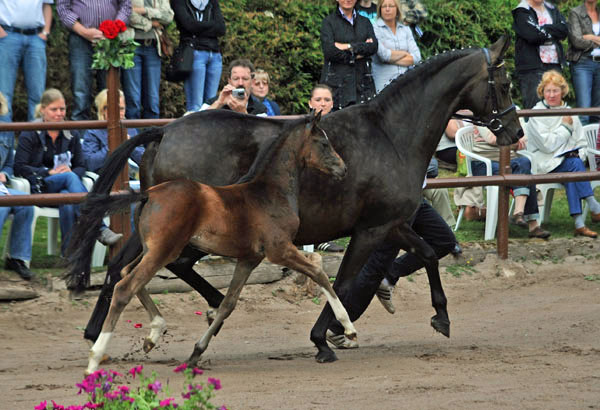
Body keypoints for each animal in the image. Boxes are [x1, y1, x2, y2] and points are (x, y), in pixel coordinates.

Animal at [86, 110, 354, 374]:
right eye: (324, 143)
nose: (343, 169)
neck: (269, 192)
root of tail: (148, 194)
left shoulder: (249, 259)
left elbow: (229, 303)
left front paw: (196, 353)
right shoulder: (279, 250)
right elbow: (318, 270)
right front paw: (349, 328)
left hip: (152, 249)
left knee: (124, 272)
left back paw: (153, 334)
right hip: (164, 251)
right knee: (125, 287)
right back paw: (95, 359)